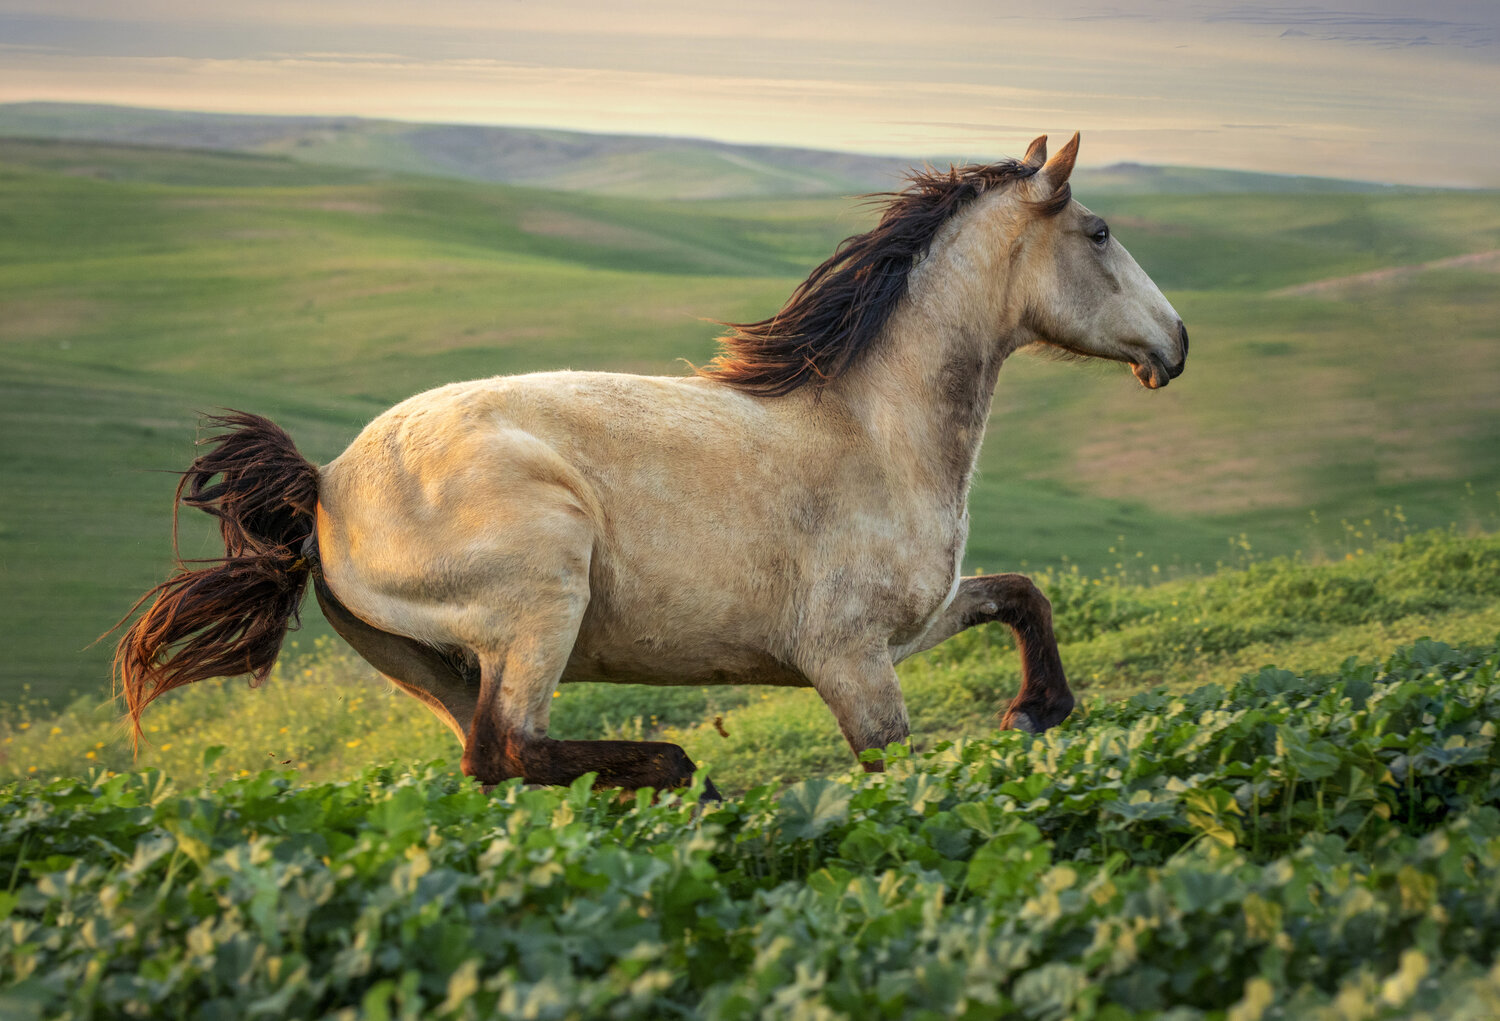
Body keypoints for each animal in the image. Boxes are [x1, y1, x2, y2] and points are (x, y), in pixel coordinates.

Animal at [115, 133, 1187, 798]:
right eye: (1099, 232)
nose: (1176, 344)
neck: (875, 435)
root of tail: (325, 487)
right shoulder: (849, 661)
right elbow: (900, 772)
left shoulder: (911, 629)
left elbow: (1020, 592)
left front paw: (1037, 710)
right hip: (542, 602)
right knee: (515, 742)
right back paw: (686, 778)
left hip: (433, 666)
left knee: (489, 760)